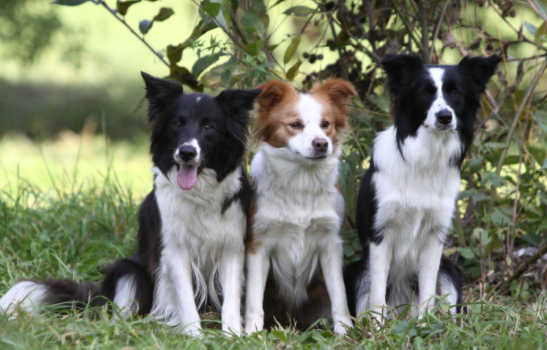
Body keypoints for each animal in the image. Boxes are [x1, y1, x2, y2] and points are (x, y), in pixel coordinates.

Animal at [0, 72, 262, 336]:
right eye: (177, 124)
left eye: (209, 127)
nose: (186, 152)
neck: (199, 193)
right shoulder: (173, 250)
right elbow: (186, 299)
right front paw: (194, 336)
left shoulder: (231, 247)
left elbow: (231, 300)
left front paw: (232, 336)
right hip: (128, 271)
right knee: (118, 314)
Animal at [245, 78, 358, 334]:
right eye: (295, 125)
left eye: (326, 124)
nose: (321, 144)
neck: (301, 180)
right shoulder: (258, 244)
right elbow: (254, 300)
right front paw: (252, 334)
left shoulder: (330, 242)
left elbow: (339, 296)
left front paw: (345, 332)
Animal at [344, 54, 504, 320]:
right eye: (425, 94)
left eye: (456, 93)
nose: (445, 117)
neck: (425, 157)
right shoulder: (380, 235)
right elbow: (377, 296)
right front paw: (378, 328)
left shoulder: (434, 237)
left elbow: (428, 293)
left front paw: (424, 324)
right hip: (357, 271)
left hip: (449, 271)